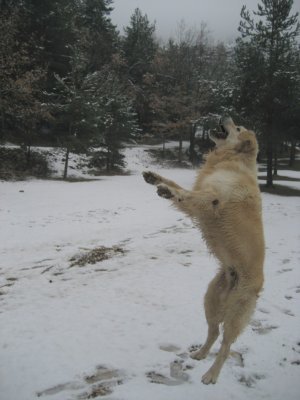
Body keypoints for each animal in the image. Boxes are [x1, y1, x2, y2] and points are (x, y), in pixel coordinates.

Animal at [143, 116, 264, 384]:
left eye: (238, 128)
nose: (225, 115)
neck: (231, 160)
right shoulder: (200, 198)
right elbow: (181, 189)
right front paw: (156, 178)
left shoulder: (213, 198)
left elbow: (186, 193)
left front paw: (168, 190)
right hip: (210, 301)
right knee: (213, 333)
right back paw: (200, 354)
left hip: (235, 314)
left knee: (226, 345)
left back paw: (211, 374)